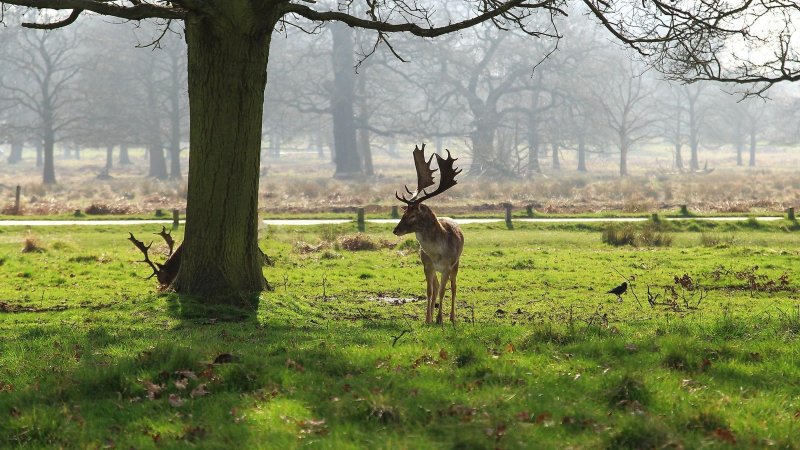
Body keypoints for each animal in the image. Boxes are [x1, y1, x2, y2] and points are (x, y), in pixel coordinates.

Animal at [392, 144, 462, 324]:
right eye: (404, 213)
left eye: (412, 215)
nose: (396, 230)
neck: (436, 253)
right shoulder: (427, 265)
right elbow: (430, 291)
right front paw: (428, 319)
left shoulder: (446, 266)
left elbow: (443, 291)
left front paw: (439, 319)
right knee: (436, 287)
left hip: (456, 263)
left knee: (453, 287)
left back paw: (452, 317)